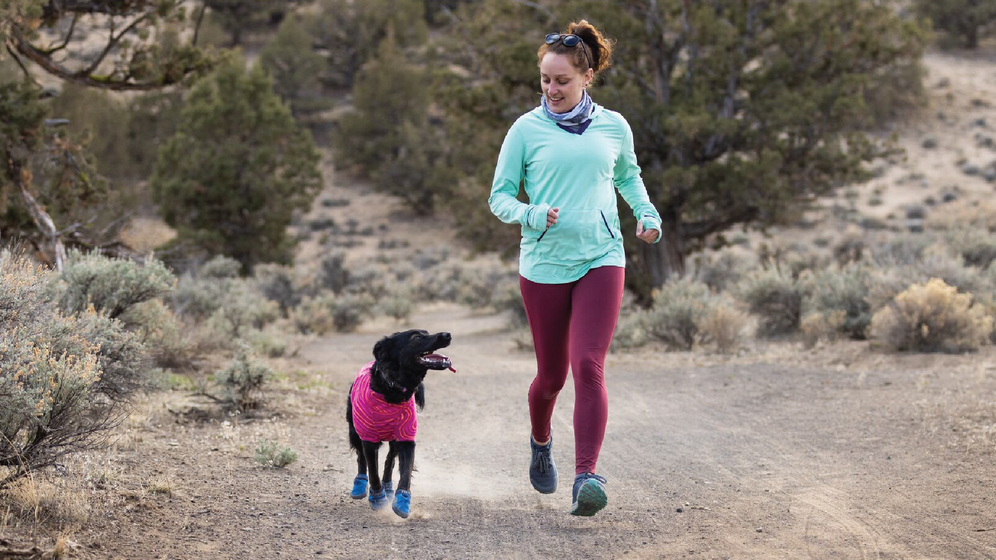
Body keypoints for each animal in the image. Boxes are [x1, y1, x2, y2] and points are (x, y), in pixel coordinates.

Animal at [342, 330, 452, 520]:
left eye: (427, 332)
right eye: (417, 337)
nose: (447, 335)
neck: (393, 389)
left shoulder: (406, 438)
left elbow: (405, 472)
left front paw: (402, 501)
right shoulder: (369, 439)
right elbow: (373, 471)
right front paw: (377, 498)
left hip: (393, 441)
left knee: (389, 461)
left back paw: (388, 488)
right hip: (354, 430)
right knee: (361, 459)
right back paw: (361, 484)